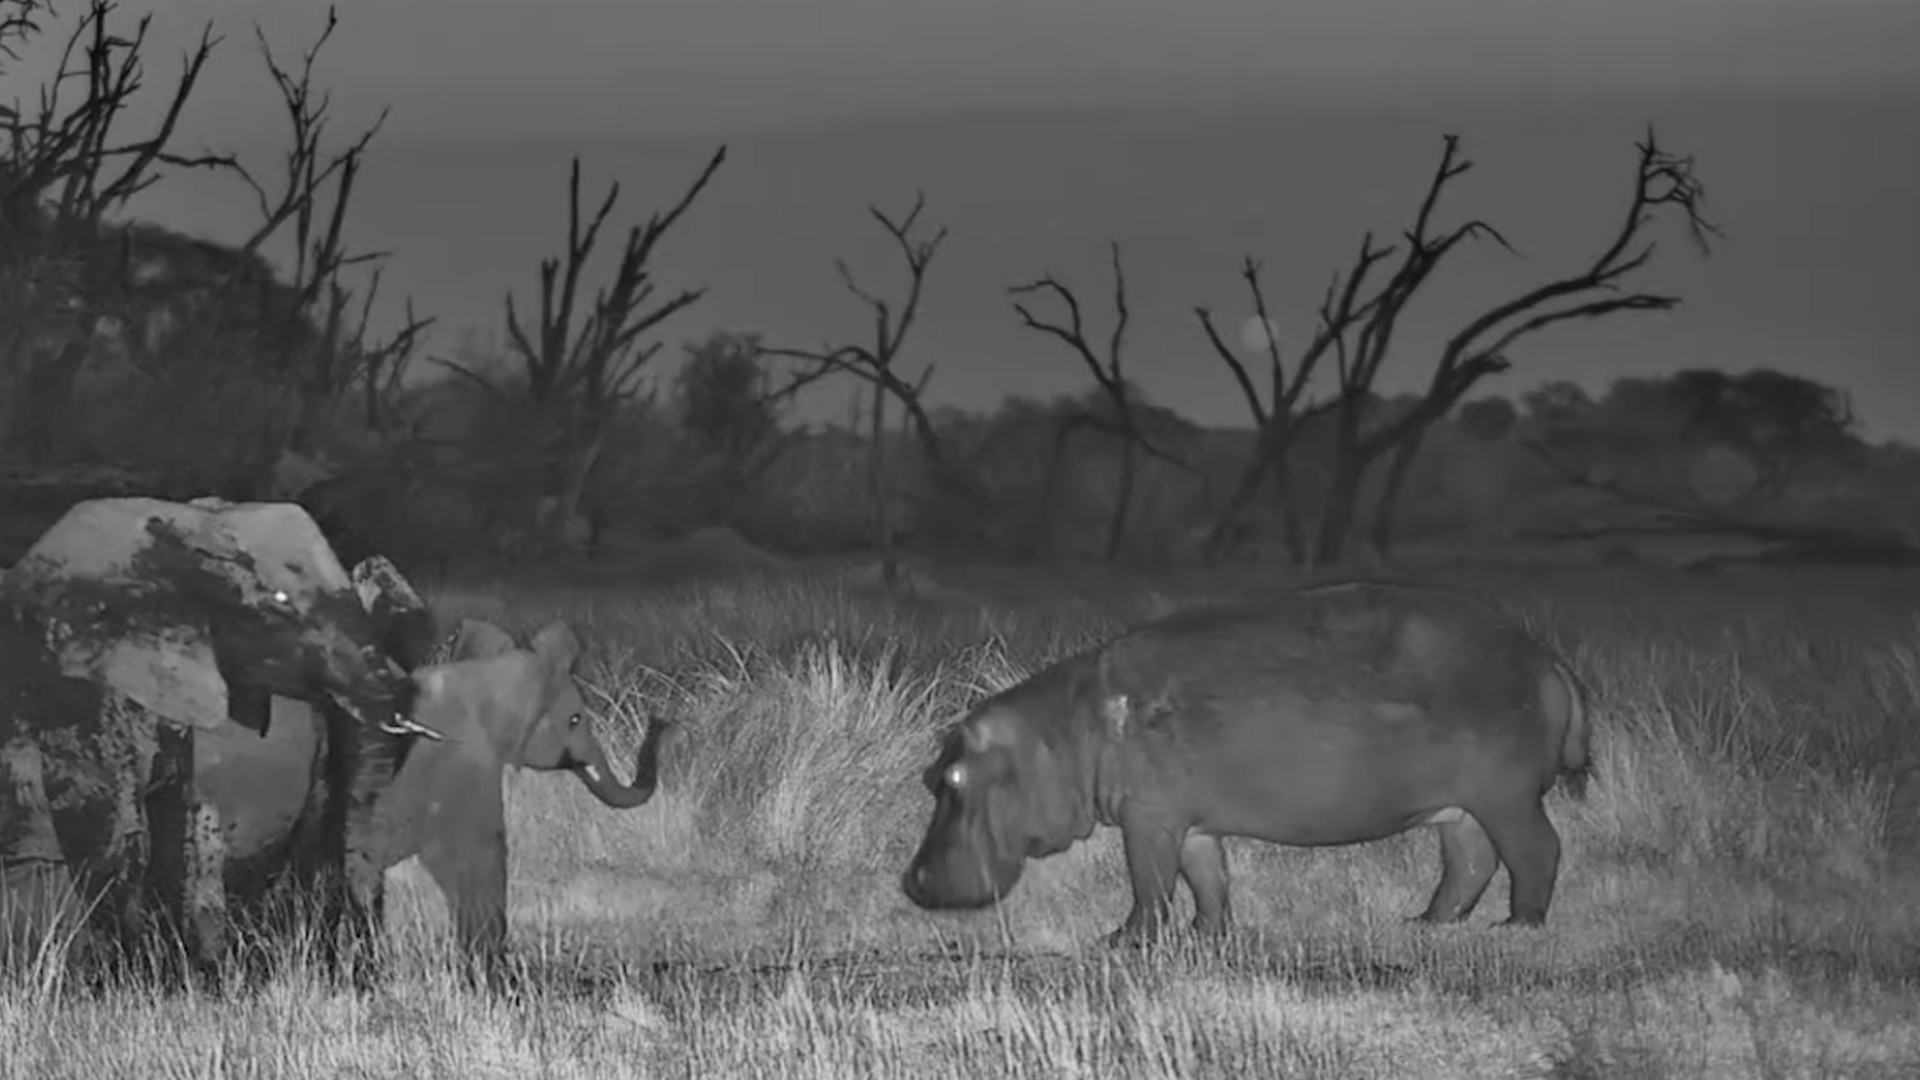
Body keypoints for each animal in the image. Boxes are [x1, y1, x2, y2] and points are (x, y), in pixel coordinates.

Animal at [196, 616, 668, 983]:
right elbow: (479, 861)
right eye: (574, 719)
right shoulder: (463, 769)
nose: (662, 719)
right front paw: (491, 979)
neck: (485, 676)